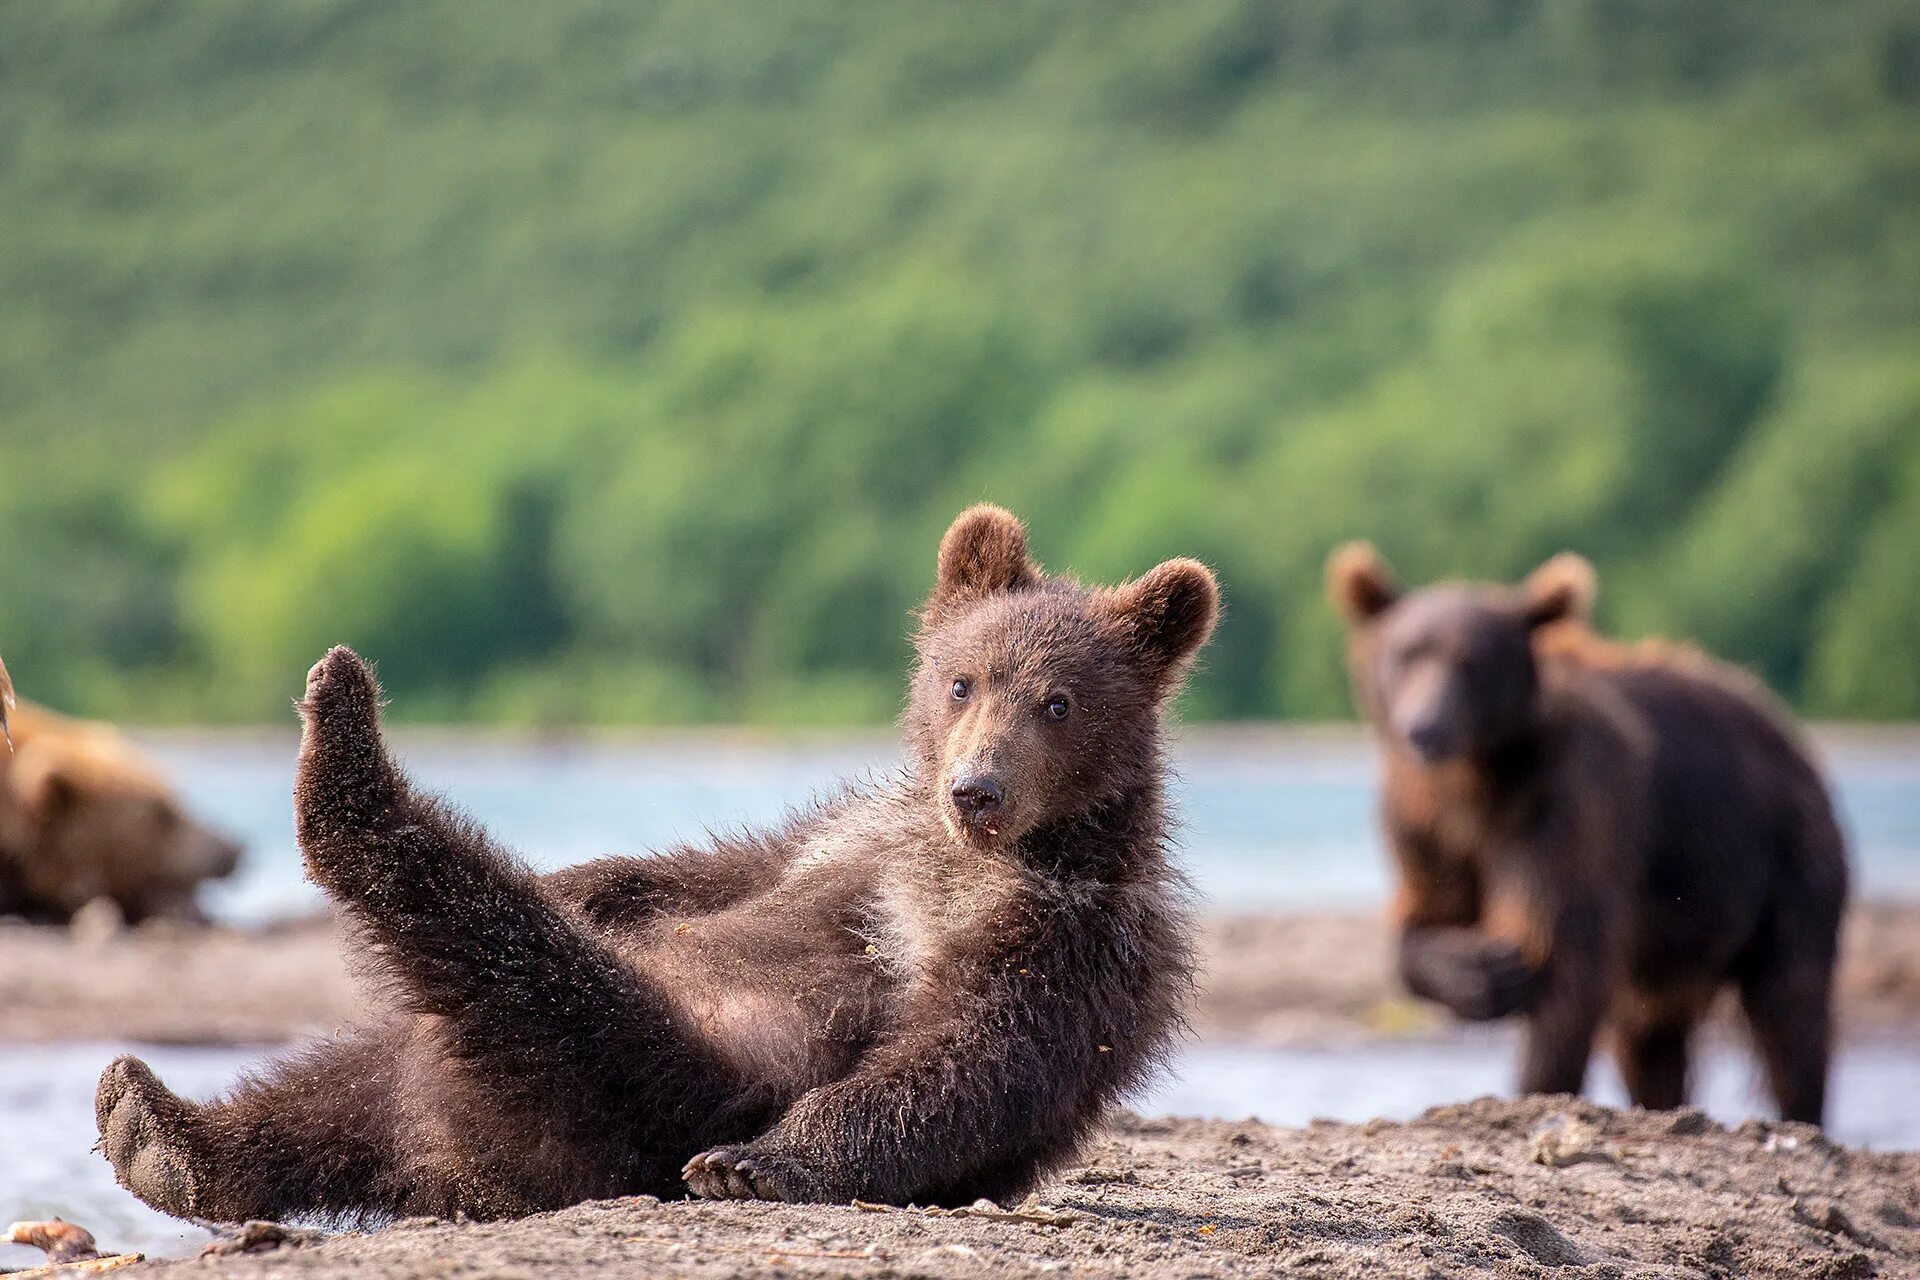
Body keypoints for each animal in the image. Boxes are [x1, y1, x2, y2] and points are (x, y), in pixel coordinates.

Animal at [93, 506, 1213, 1220]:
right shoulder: (853, 835)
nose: (977, 788)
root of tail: (465, 1163)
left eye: (1057, 701)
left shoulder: (1064, 931)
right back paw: (161, 1131)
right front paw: (579, 878)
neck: (988, 853)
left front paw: (758, 1164)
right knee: (355, 1077)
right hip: (485, 1078)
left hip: (649, 1077)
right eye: (962, 681)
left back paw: (343, 754)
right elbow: (709, 873)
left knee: (518, 970)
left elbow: (961, 1056)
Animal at [1336, 545, 1843, 1128]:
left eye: (1473, 662)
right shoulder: (1423, 823)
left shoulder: (1565, 803)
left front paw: (1536, 1086)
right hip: (1674, 934)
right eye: (1407, 654)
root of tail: (1789, 733)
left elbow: (1564, 956)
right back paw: (1663, 1105)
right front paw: (1480, 973)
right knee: (1652, 1039)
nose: (1424, 728)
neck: (1478, 780)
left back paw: (1800, 1114)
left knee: (1791, 1007)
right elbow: (1429, 915)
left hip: (1785, 864)